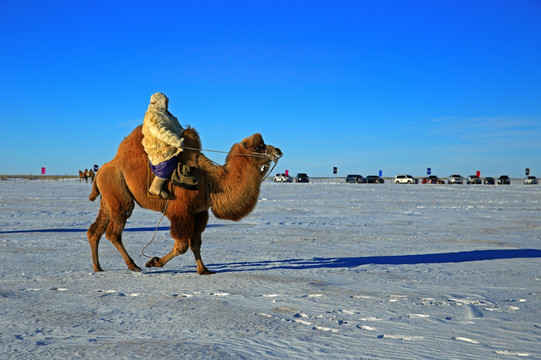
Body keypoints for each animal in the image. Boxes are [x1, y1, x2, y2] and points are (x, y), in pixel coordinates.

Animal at [86, 125, 280, 274]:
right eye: (260, 146)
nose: (278, 151)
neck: (211, 182)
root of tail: (102, 169)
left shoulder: (199, 212)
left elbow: (196, 243)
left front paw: (204, 270)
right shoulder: (182, 211)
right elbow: (182, 246)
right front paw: (154, 262)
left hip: (108, 198)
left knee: (95, 230)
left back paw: (98, 267)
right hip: (120, 197)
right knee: (114, 232)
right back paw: (133, 265)